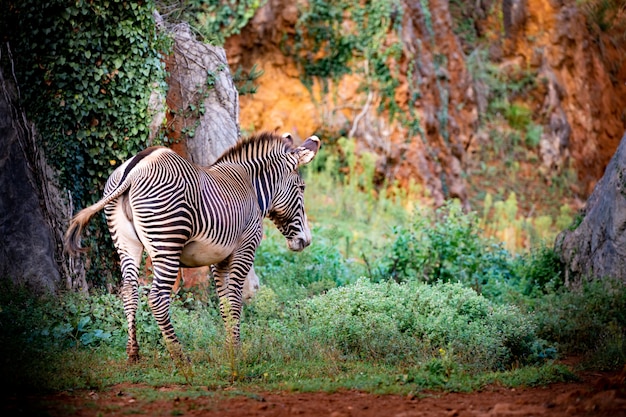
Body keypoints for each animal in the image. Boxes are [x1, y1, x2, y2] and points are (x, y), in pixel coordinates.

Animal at [65, 131, 320, 360]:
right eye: (302, 188)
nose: (306, 241)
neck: (251, 187)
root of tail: (134, 169)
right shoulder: (244, 249)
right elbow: (235, 300)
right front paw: (237, 352)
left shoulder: (219, 259)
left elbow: (224, 303)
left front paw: (229, 347)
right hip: (167, 244)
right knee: (157, 298)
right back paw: (179, 356)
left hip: (126, 244)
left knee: (129, 291)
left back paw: (133, 353)